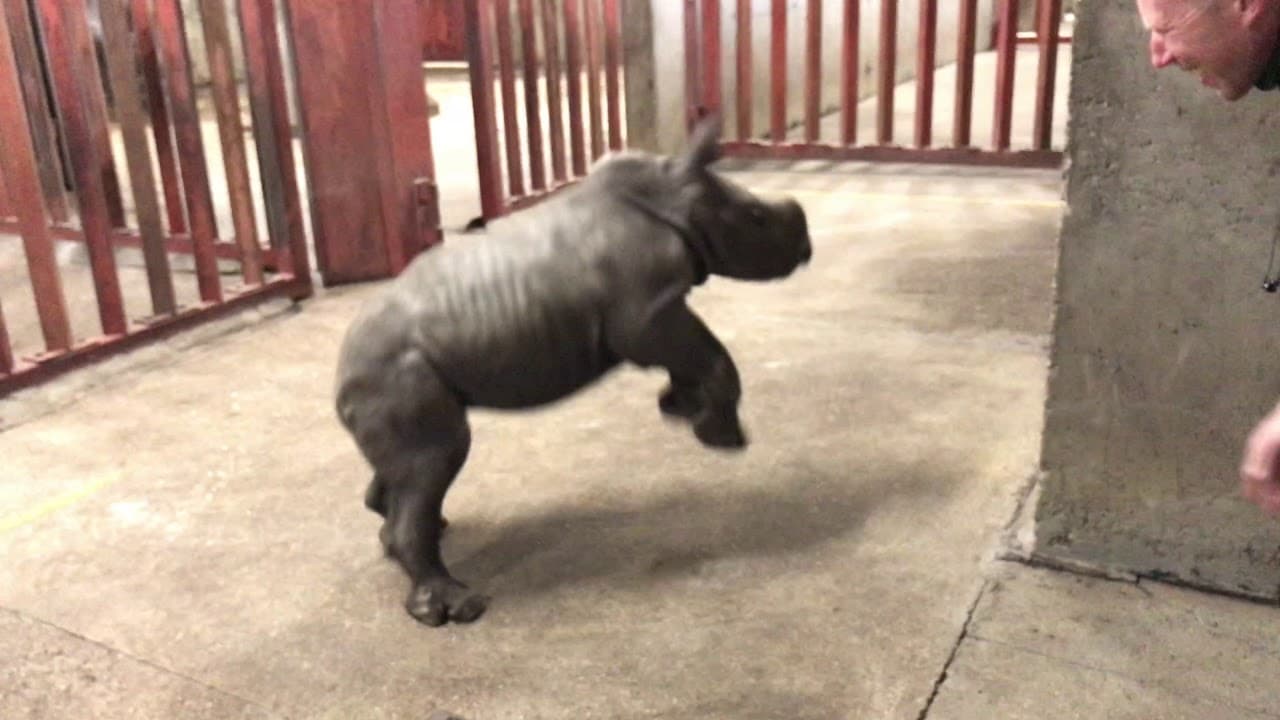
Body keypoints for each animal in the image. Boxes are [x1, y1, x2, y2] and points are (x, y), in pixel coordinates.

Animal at [334, 116, 812, 627]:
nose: (807, 247)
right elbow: (714, 356)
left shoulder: (657, 312)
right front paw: (721, 436)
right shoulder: (647, 312)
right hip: (394, 375)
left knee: (409, 465)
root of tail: (339, 380)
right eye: (757, 218)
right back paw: (458, 606)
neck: (677, 195)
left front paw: (679, 407)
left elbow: (696, 356)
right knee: (436, 455)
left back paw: (421, 533)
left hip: (387, 379)